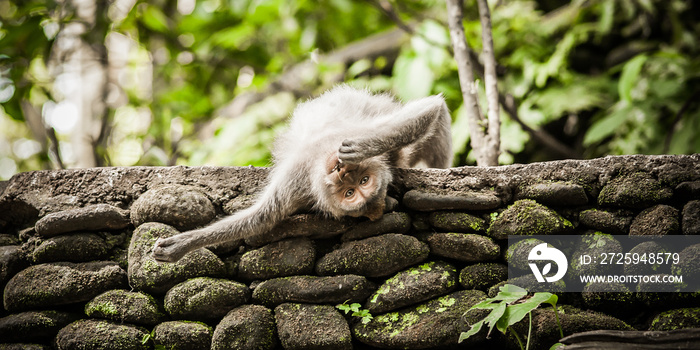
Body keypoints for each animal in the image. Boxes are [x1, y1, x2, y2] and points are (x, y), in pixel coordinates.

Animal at [152, 85, 454, 262]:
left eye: (354, 190)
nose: (343, 173)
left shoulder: (300, 184)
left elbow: (261, 218)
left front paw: (183, 244)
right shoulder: (309, 169)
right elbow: (427, 110)